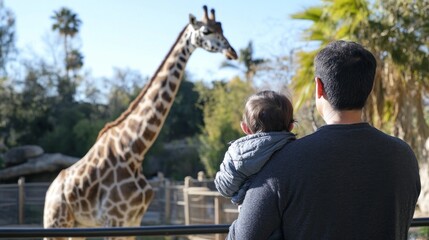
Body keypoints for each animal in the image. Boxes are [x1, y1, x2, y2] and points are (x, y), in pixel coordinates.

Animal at [42, 6, 237, 240]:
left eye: (222, 28)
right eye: (206, 31)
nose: (232, 52)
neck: (135, 150)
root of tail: (49, 191)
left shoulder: (133, 220)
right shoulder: (113, 220)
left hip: (75, 226)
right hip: (55, 222)